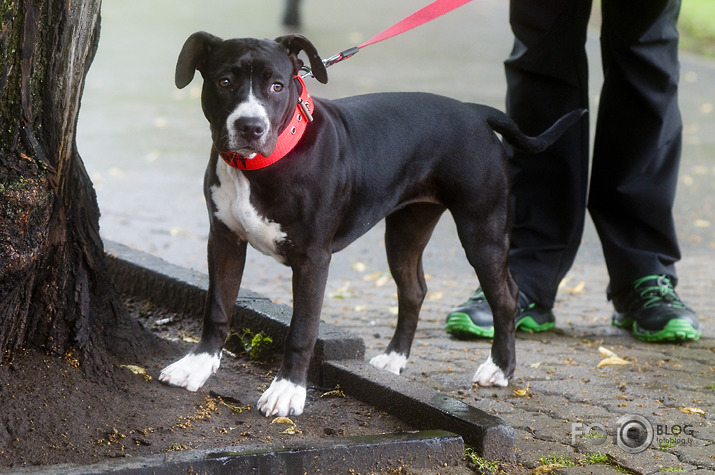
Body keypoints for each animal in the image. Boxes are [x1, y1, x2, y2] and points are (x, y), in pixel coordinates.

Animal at [159, 32, 584, 416]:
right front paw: (197, 366)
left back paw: (500, 368)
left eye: (277, 85)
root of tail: (473, 110)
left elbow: (302, 329)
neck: (264, 164)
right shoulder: (224, 239)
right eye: (224, 82)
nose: (250, 126)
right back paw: (395, 358)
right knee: (413, 290)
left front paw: (287, 391)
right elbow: (217, 306)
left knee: (506, 296)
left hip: (483, 230)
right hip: (406, 230)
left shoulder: (313, 259)